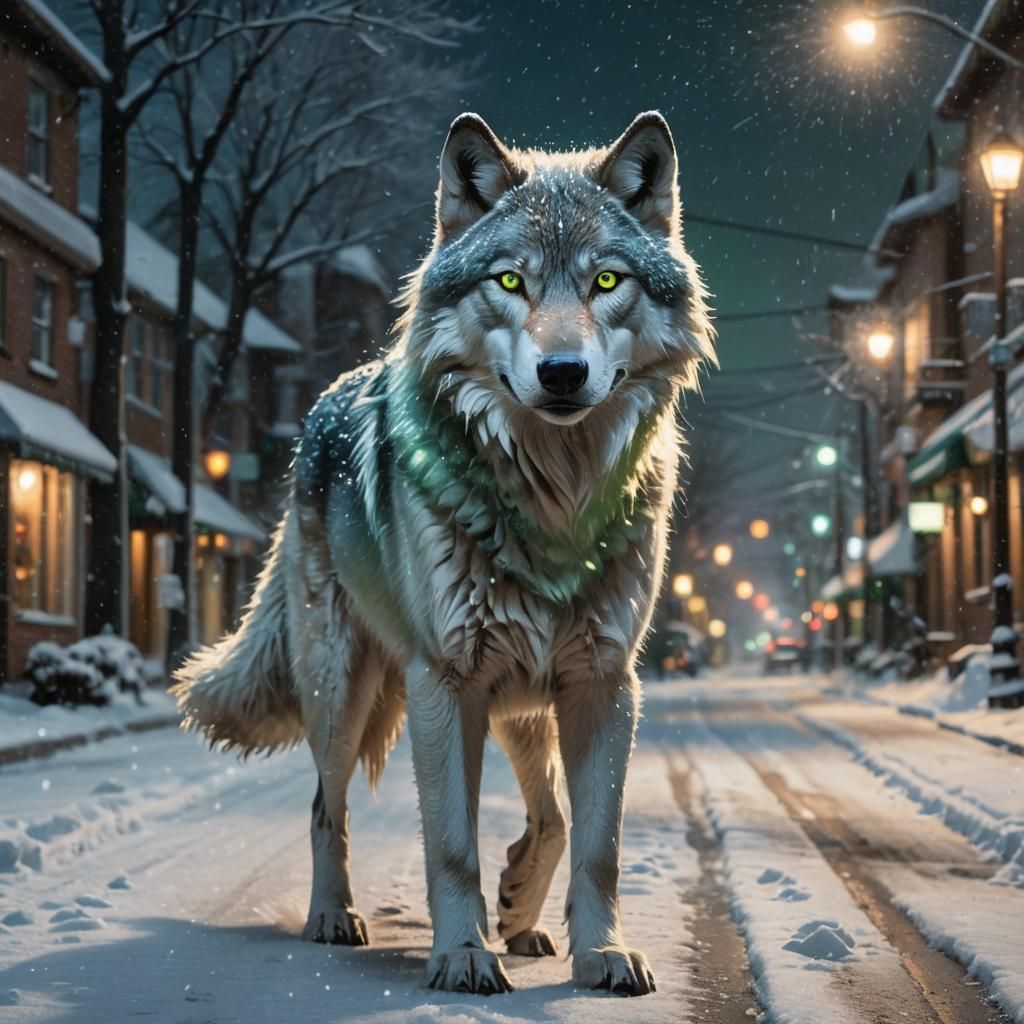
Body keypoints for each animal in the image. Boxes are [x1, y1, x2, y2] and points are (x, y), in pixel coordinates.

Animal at [172, 110, 714, 997]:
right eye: (509, 282)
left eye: (606, 282)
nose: (562, 373)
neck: (553, 499)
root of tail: (322, 407)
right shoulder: (444, 684)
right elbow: (452, 844)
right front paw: (462, 954)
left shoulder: (604, 684)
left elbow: (596, 844)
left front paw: (599, 952)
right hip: (342, 691)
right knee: (325, 808)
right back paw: (334, 917)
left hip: (521, 705)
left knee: (549, 815)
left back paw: (523, 916)